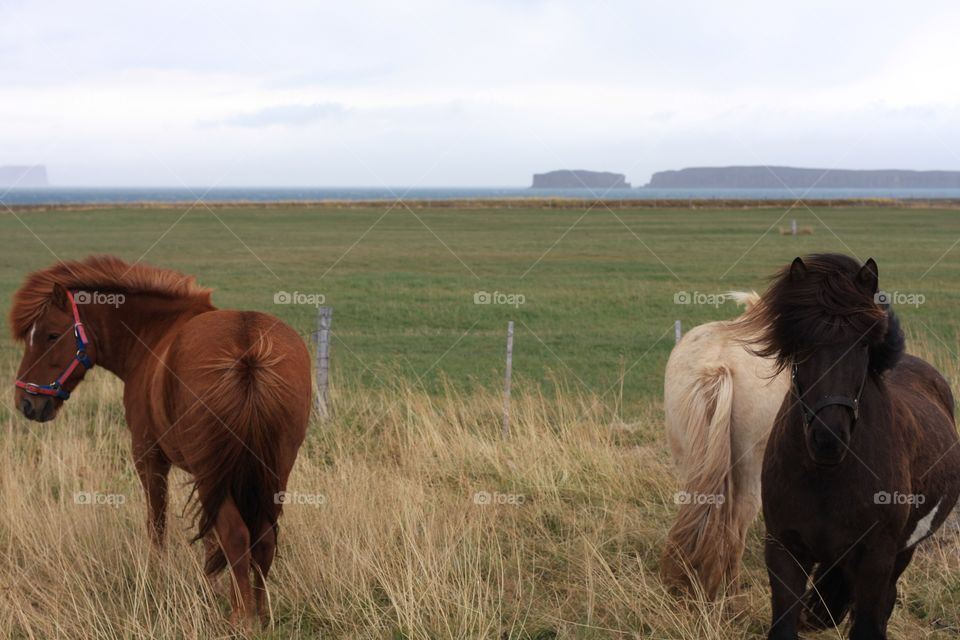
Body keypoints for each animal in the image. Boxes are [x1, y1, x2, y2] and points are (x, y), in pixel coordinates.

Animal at [12, 256, 312, 624]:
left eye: (52, 336)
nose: (26, 402)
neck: (153, 333)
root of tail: (249, 349)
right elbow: (210, 537)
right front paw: (209, 584)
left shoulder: (149, 458)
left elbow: (158, 522)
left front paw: (157, 577)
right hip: (270, 473)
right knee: (263, 538)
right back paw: (262, 614)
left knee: (237, 536)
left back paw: (241, 618)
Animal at [744, 255, 960, 640]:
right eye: (802, 344)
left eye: (861, 345)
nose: (828, 438)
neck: (827, 478)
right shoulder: (784, 549)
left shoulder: (876, 557)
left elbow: (870, 621)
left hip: (902, 553)